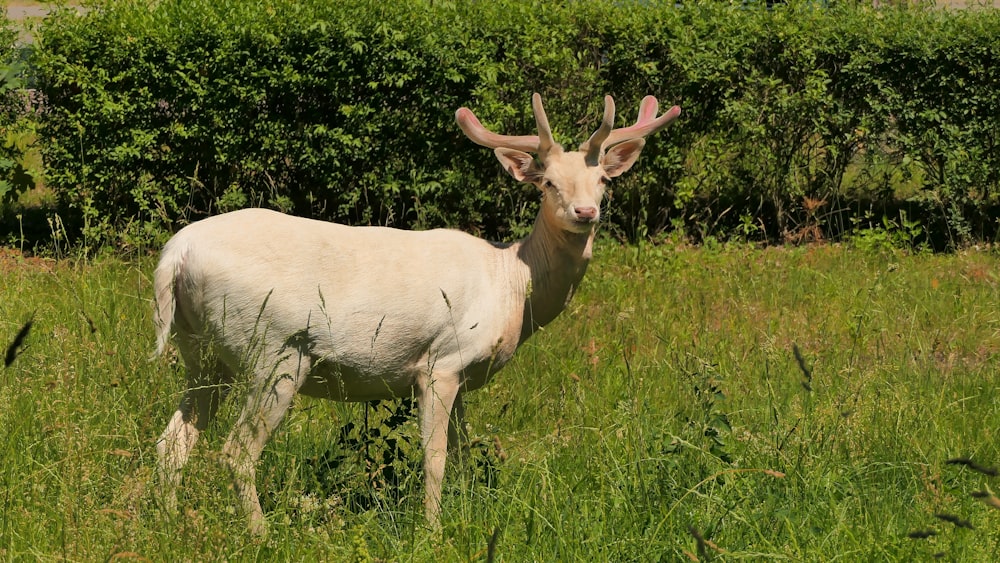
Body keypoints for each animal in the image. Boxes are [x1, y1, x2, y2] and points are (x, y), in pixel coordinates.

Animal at [154, 93, 680, 532]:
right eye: (549, 183)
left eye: (604, 181)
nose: (585, 212)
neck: (511, 283)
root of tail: (174, 255)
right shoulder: (440, 362)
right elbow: (435, 457)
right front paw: (431, 531)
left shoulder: (465, 374)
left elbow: (466, 453)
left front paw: (469, 512)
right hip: (275, 351)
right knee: (236, 451)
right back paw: (261, 535)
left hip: (203, 353)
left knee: (172, 443)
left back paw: (164, 522)